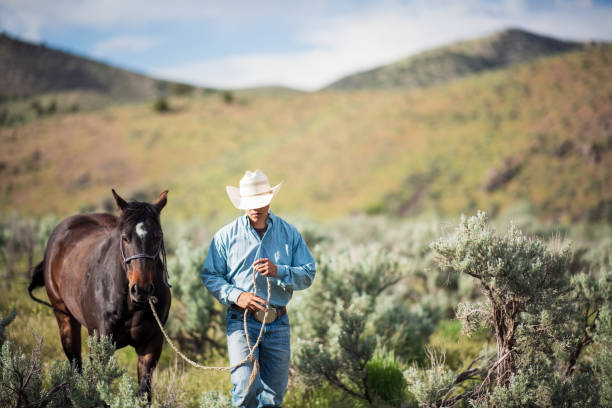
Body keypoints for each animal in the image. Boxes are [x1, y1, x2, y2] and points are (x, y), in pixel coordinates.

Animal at [28, 190, 172, 402]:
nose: (142, 289)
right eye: (125, 237)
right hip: (64, 318)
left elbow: (143, 393)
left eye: (158, 236)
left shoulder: (151, 345)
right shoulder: (100, 345)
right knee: (75, 365)